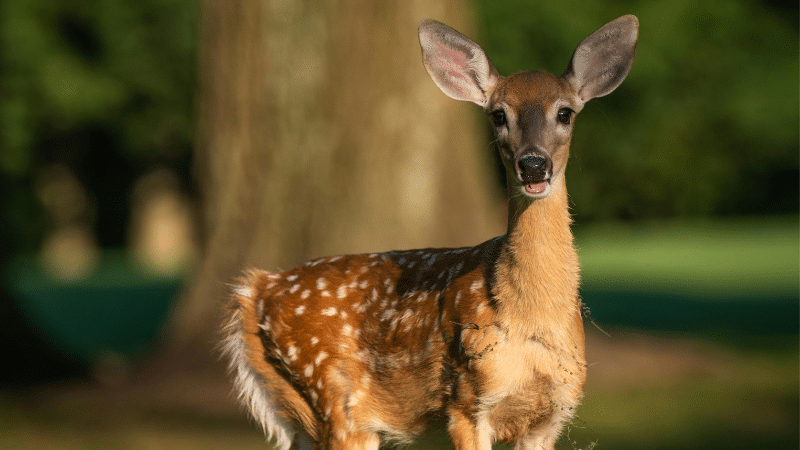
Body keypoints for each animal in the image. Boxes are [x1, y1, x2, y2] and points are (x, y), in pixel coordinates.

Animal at [222, 15, 638, 450]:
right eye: (498, 115)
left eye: (565, 113)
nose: (534, 165)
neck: (530, 321)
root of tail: (254, 290)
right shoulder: (466, 400)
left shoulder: (551, 413)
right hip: (335, 398)